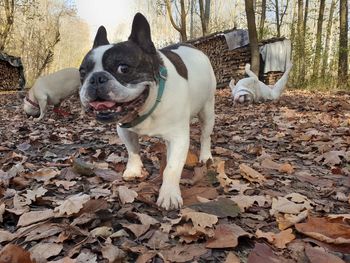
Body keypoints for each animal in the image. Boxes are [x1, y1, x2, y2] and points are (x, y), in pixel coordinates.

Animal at [79, 13, 216, 210]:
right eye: (82, 72)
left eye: (123, 68)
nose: (96, 78)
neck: (148, 104)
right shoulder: (124, 130)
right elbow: (132, 150)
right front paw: (134, 170)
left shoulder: (179, 138)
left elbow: (172, 168)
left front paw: (169, 194)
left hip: (207, 109)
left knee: (206, 135)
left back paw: (205, 157)